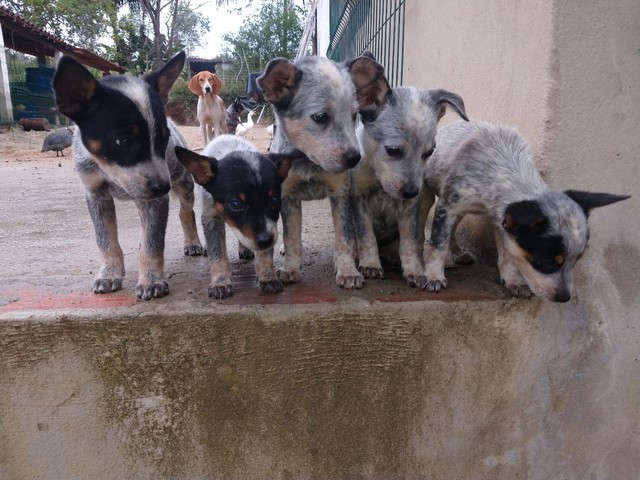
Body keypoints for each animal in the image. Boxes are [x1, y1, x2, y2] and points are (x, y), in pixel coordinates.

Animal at [52, 53, 202, 300]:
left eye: (164, 139)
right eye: (123, 141)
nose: (163, 187)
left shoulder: (156, 199)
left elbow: (153, 242)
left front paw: (151, 280)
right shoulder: (96, 195)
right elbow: (105, 239)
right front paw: (110, 273)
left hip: (183, 183)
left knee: (185, 212)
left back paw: (193, 242)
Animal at [175, 135, 296, 298]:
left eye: (275, 199)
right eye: (235, 203)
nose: (265, 240)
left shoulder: (268, 227)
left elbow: (265, 253)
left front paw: (267, 277)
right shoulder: (211, 217)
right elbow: (218, 254)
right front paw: (220, 282)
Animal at [422, 120, 628, 300]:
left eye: (577, 260)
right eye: (546, 263)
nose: (564, 298)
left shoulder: (501, 220)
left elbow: (508, 256)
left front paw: (514, 281)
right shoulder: (448, 207)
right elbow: (437, 245)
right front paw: (433, 276)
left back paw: (457, 252)